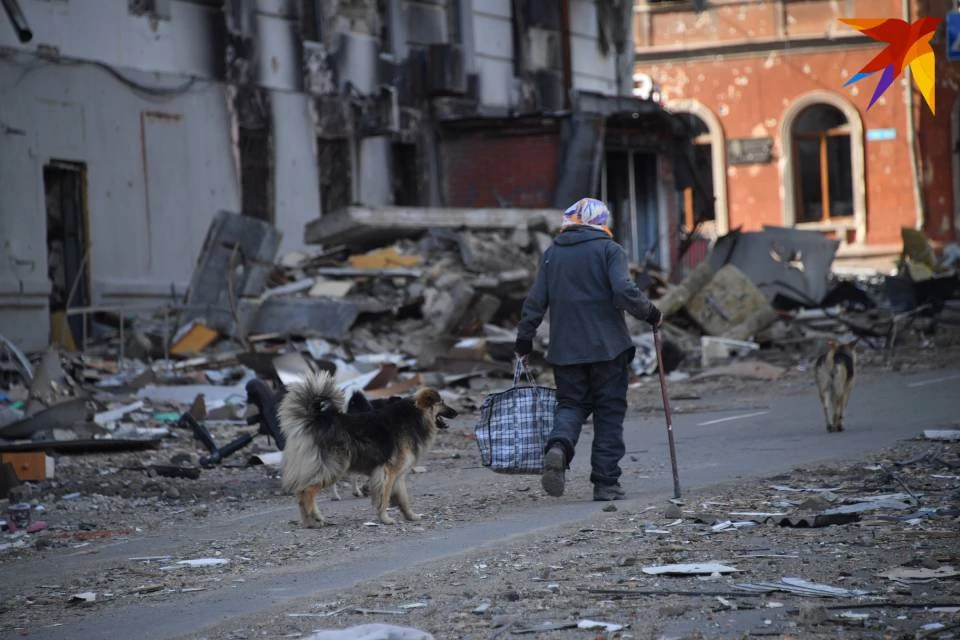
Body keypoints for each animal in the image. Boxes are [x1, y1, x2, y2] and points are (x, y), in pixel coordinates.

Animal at [278, 372, 458, 528]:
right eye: (442, 402)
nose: (456, 412)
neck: (415, 416)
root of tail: (315, 420)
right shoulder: (388, 472)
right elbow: (384, 498)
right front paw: (385, 518)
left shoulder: (398, 475)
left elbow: (404, 498)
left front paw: (411, 516)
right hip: (334, 467)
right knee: (306, 492)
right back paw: (315, 517)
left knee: (301, 494)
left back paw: (309, 522)